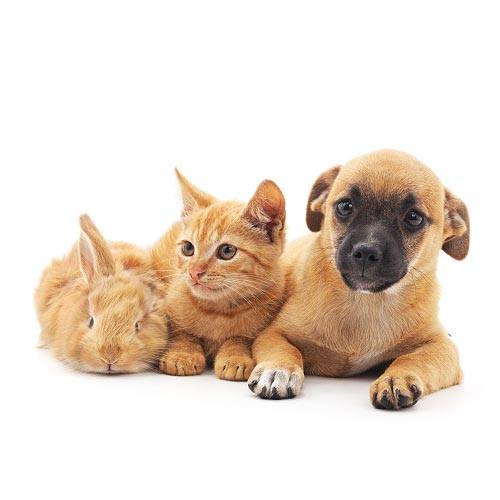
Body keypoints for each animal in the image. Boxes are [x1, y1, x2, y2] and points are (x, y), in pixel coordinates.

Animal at [150, 170, 286, 380]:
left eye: (227, 251)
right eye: (188, 248)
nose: (194, 272)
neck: (217, 311)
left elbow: (240, 338)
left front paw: (234, 355)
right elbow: (181, 333)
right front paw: (182, 354)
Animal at [248, 150, 470, 408]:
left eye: (414, 218)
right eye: (345, 206)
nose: (366, 251)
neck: (365, 302)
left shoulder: (442, 348)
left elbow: (414, 360)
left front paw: (396, 378)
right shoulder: (273, 333)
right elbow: (285, 350)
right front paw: (277, 370)